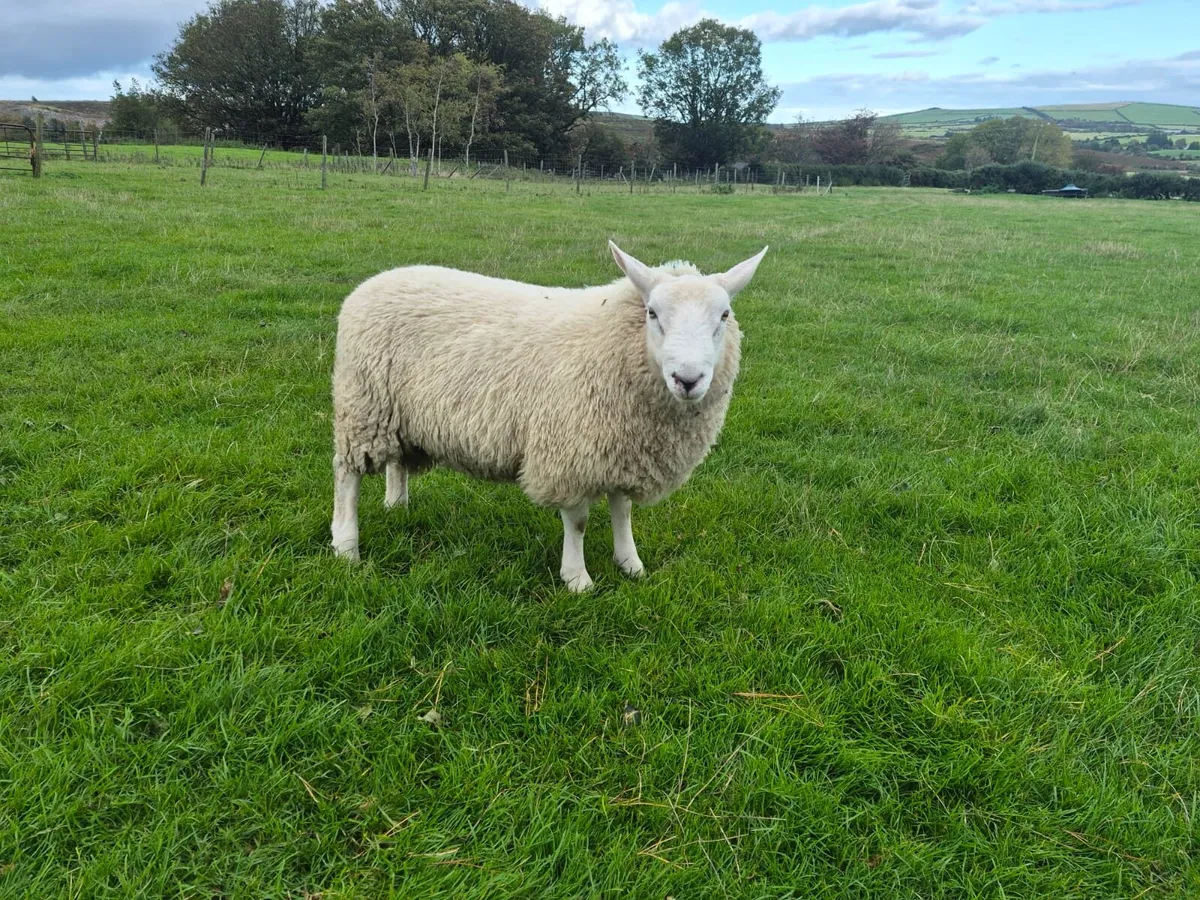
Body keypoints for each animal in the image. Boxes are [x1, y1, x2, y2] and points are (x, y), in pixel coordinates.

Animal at [330, 240, 768, 591]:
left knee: (397, 463)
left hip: (396, 414)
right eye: (652, 313)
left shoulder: (623, 448)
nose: (688, 379)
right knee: (346, 475)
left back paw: (396, 505)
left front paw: (630, 563)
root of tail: (376, 281)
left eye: (724, 316)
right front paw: (577, 579)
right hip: (362, 407)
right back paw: (346, 545)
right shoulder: (571, 453)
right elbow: (577, 522)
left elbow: (622, 510)